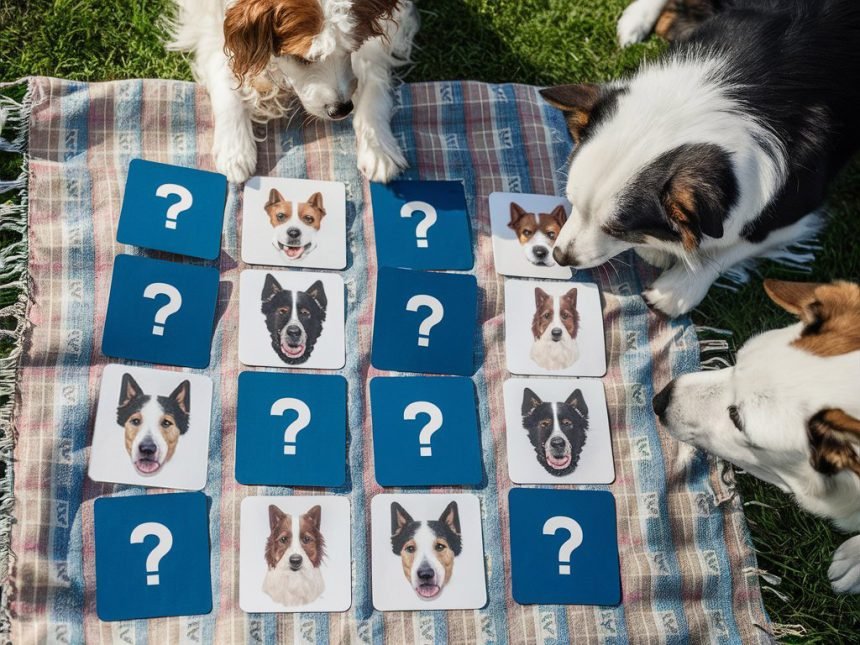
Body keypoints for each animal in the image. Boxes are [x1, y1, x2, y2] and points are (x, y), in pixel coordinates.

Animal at [166, 0, 418, 182]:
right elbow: (223, 71)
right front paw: (234, 147)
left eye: (351, 49)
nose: (341, 109)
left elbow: (373, 74)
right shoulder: (208, 17)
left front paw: (377, 145)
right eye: (301, 58)